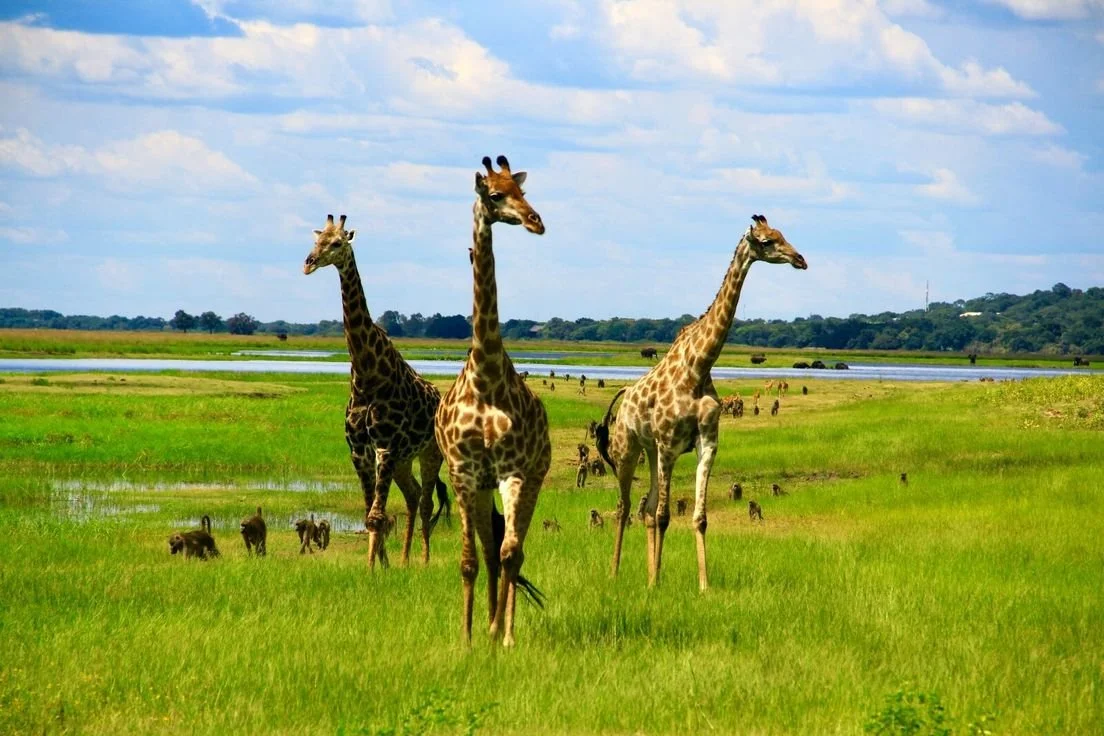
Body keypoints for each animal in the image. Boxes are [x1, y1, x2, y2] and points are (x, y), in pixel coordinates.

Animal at [303, 214, 445, 569]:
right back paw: (405, 560)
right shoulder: (359, 450)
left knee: (425, 501)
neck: (366, 375)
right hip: (404, 459)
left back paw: (423, 561)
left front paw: (372, 569)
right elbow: (370, 513)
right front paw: (382, 565)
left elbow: (377, 516)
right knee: (413, 494)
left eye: (337, 243)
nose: (308, 263)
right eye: (315, 240)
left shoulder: (385, 446)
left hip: (429, 452)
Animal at [596, 214, 807, 589]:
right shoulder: (668, 444)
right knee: (625, 507)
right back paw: (615, 573)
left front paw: (701, 586)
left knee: (644, 508)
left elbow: (698, 517)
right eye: (767, 241)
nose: (800, 259)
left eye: (782, 234)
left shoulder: (706, 443)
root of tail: (623, 398)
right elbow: (665, 515)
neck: (698, 367)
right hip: (628, 450)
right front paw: (656, 583)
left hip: (651, 452)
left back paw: (649, 573)